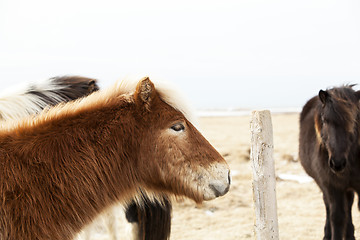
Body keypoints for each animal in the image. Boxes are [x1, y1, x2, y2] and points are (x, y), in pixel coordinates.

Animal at [300, 85, 360, 239]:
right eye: (325, 120)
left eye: (354, 120)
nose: (337, 163)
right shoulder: (332, 185)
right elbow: (337, 218)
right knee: (330, 207)